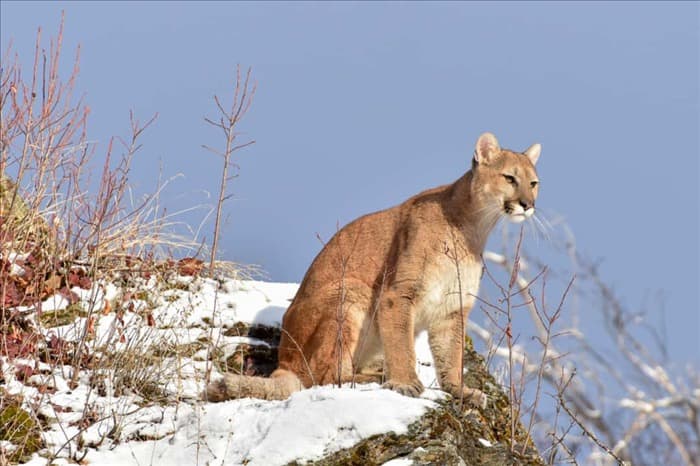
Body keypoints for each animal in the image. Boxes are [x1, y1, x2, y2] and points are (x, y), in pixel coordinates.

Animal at [205, 130, 540, 404]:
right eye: (510, 178)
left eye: (533, 183)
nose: (528, 204)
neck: (473, 227)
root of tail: (284, 361)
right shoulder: (398, 293)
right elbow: (402, 345)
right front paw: (404, 382)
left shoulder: (452, 307)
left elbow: (451, 354)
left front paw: (460, 390)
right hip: (352, 291)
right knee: (324, 378)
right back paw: (374, 377)